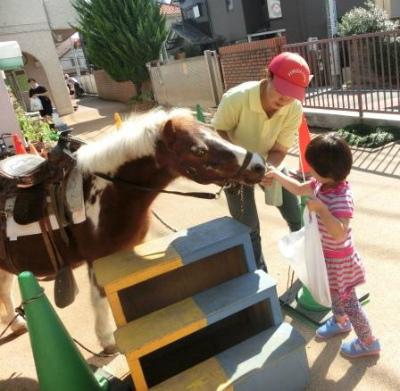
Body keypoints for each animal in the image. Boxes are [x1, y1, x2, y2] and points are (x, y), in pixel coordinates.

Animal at [0, 108, 266, 352]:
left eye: (214, 131)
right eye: (199, 150)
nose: (259, 165)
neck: (107, 191)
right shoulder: (98, 260)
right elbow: (100, 298)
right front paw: (107, 340)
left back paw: (17, 324)